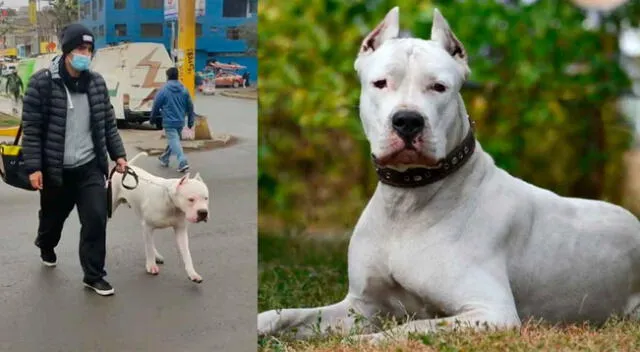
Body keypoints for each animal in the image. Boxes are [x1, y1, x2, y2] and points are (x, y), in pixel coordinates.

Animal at [110, 151, 210, 284]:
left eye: (206, 198)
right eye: (191, 199)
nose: (203, 212)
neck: (171, 203)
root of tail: (127, 166)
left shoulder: (180, 230)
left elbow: (186, 253)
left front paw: (192, 273)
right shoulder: (148, 226)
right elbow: (148, 246)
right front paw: (151, 265)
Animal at [258, 7, 640, 344]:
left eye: (439, 87)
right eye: (380, 83)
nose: (407, 120)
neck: (408, 201)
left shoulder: (490, 311)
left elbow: (408, 328)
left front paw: (363, 341)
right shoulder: (361, 306)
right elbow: (287, 314)